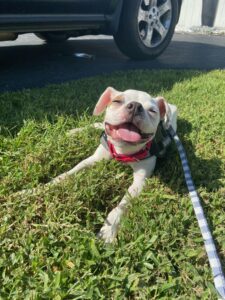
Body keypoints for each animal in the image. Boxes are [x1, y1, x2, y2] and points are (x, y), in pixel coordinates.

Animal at [50, 88, 177, 243]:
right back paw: (73, 131)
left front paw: (108, 230)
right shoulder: (93, 159)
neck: (123, 151)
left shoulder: (140, 181)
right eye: (116, 101)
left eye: (152, 111)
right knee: (97, 124)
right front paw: (39, 188)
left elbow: (123, 204)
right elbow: (68, 174)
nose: (135, 106)